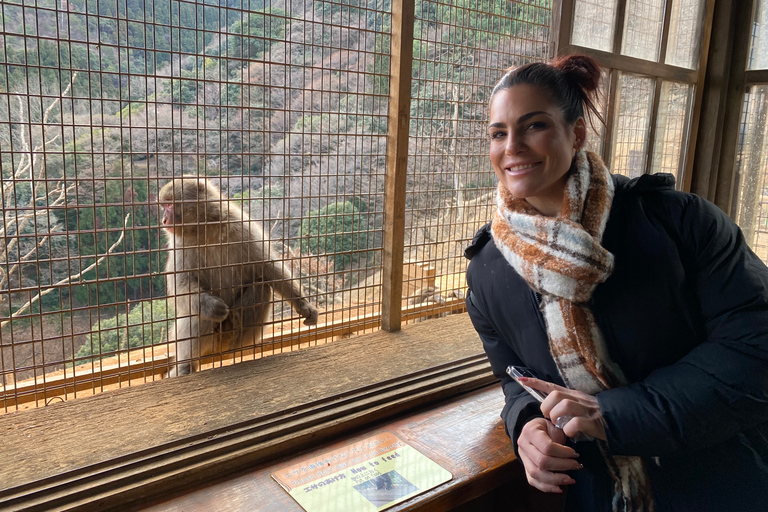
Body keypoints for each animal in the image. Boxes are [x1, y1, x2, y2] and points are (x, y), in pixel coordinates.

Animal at [159, 177, 318, 376]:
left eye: (169, 205)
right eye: (164, 205)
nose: (163, 220)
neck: (205, 228)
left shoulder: (242, 227)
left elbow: (268, 267)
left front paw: (303, 305)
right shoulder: (179, 244)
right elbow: (181, 284)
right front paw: (210, 306)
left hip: (243, 336)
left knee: (260, 285)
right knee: (196, 309)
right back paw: (186, 366)